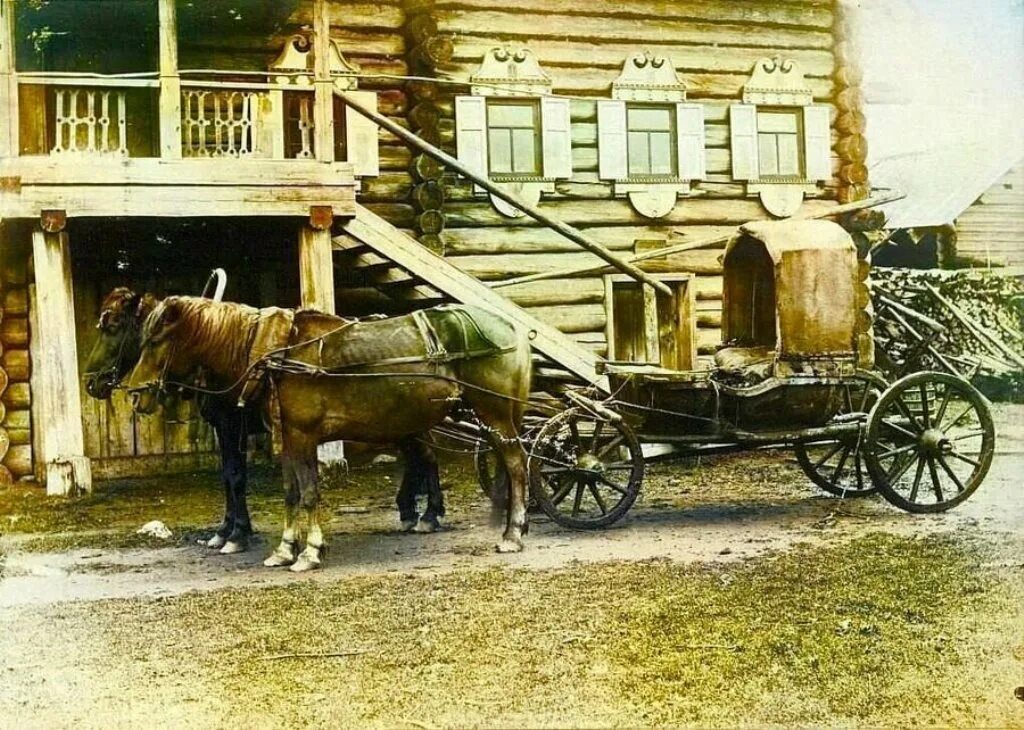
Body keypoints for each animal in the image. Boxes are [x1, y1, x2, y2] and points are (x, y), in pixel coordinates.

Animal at [123, 296, 532, 569]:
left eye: (156, 340)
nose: (135, 393)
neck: (277, 354)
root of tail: (510, 326)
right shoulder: (288, 438)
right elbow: (290, 493)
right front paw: (284, 548)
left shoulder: (303, 436)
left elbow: (308, 494)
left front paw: (309, 551)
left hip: (495, 414)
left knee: (515, 465)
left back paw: (512, 532)